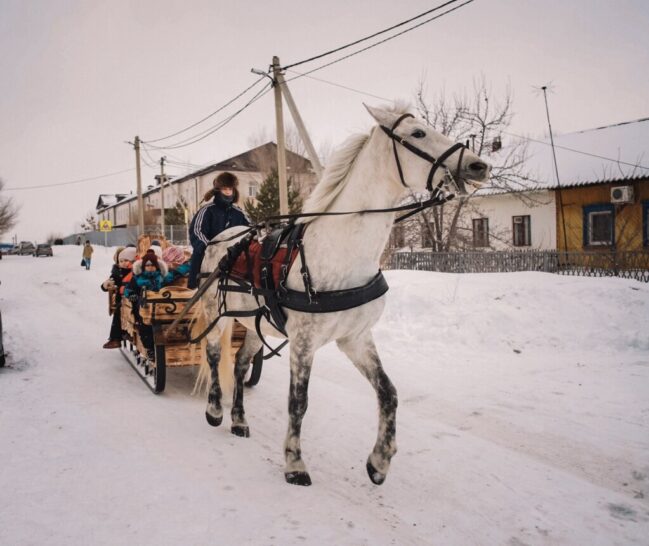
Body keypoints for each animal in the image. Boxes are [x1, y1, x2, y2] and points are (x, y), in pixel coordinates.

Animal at [195, 103, 488, 484]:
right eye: (418, 133)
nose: (479, 165)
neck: (342, 250)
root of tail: (225, 237)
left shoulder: (355, 337)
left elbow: (388, 393)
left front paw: (380, 460)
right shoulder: (303, 342)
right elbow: (298, 403)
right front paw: (294, 463)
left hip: (258, 325)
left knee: (243, 363)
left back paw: (239, 420)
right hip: (217, 315)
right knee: (215, 355)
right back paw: (215, 409)